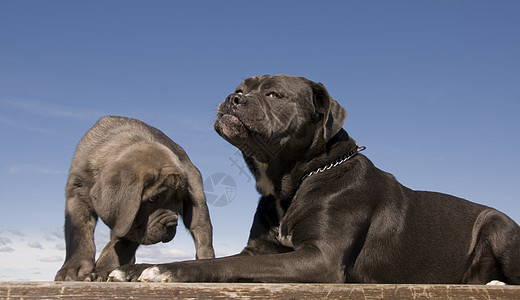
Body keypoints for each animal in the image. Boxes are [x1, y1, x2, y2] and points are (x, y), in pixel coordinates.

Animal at [54, 115, 213, 282]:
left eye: (178, 201)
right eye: (153, 199)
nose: (171, 224)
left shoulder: (130, 222)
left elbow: (119, 246)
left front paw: (102, 270)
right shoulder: (78, 194)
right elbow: (79, 235)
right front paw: (73, 270)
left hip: (199, 207)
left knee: (203, 238)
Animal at [109, 74, 520, 284]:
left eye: (274, 94)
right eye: (241, 88)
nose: (232, 97)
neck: (293, 183)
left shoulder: (319, 258)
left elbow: (218, 265)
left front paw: (160, 268)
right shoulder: (258, 252)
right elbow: (228, 260)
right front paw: (130, 268)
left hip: (497, 224)